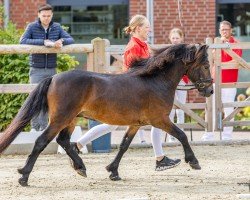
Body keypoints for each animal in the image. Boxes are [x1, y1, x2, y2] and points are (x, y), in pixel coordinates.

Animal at [0, 43, 213, 186]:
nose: (209, 91)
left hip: (71, 119)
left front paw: (113, 171)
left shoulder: (136, 124)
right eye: (205, 65)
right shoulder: (160, 119)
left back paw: (80, 167)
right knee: (41, 142)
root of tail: (53, 78)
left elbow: (124, 146)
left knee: (64, 141)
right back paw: (24, 176)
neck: (155, 81)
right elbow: (182, 135)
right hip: (60, 118)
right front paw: (193, 161)